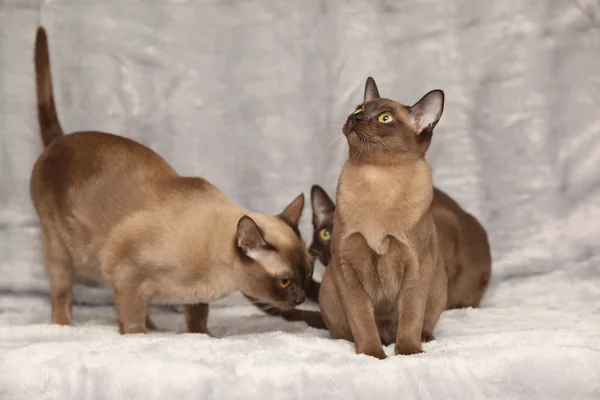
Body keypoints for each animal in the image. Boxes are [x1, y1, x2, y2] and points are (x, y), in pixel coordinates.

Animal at [31, 25, 314, 334]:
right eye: (285, 281)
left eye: (308, 274)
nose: (301, 299)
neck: (220, 275)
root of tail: (59, 140)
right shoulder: (128, 276)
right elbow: (131, 320)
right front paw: (139, 337)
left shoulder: (189, 296)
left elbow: (197, 318)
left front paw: (202, 337)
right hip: (59, 249)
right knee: (62, 293)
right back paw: (63, 325)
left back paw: (155, 327)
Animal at [322, 76, 448, 358]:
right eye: (359, 109)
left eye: (385, 118)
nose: (355, 118)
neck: (378, 178)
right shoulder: (347, 269)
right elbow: (363, 322)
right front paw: (372, 356)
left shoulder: (415, 268)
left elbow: (410, 317)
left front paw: (408, 353)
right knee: (346, 330)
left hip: (437, 286)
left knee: (420, 324)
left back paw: (423, 339)